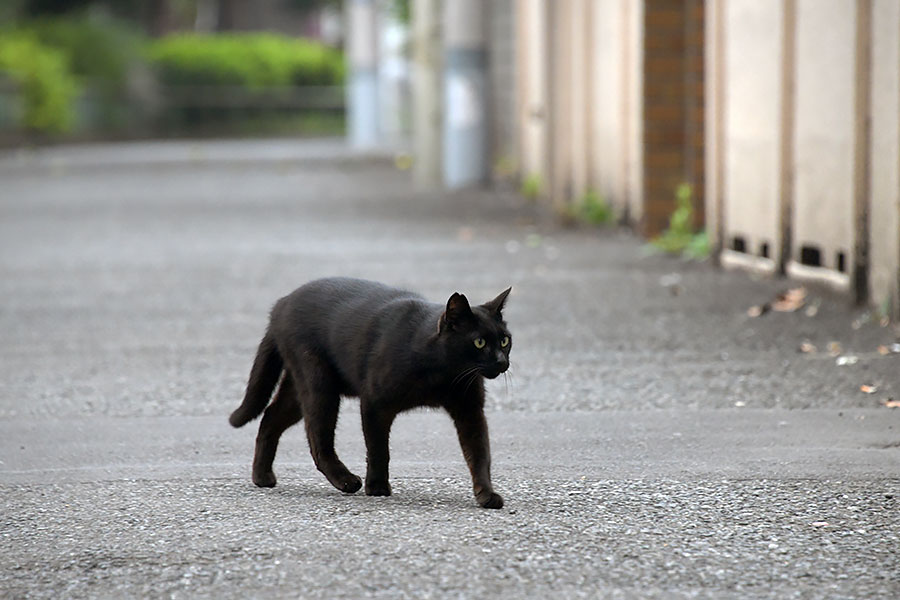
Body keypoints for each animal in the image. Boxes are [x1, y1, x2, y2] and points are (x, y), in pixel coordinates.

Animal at [230, 276, 512, 506]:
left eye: (505, 340)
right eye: (479, 342)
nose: (502, 362)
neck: (444, 375)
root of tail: (280, 304)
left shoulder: (470, 410)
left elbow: (479, 454)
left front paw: (486, 495)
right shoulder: (375, 403)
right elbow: (378, 449)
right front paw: (377, 487)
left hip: (299, 388)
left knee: (270, 417)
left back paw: (262, 476)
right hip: (318, 383)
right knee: (317, 439)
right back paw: (346, 481)